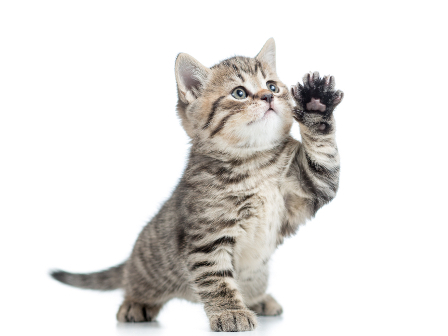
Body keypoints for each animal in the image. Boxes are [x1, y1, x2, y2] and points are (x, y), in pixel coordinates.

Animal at [50, 38, 344, 332]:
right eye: (239, 93)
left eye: (272, 86)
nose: (268, 96)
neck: (254, 162)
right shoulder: (208, 237)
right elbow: (217, 280)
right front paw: (230, 312)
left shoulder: (310, 188)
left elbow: (324, 158)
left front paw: (316, 105)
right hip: (150, 269)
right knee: (134, 284)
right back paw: (135, 304)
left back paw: (259, 299)